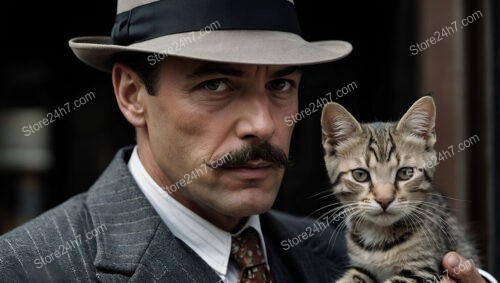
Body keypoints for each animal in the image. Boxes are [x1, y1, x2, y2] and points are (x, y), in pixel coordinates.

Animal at [320, 96, 480, 282]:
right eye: (360, 175)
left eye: (405, 173)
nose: (384, 200)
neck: (378, 235)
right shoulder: (361, 267)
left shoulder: (422, 268)